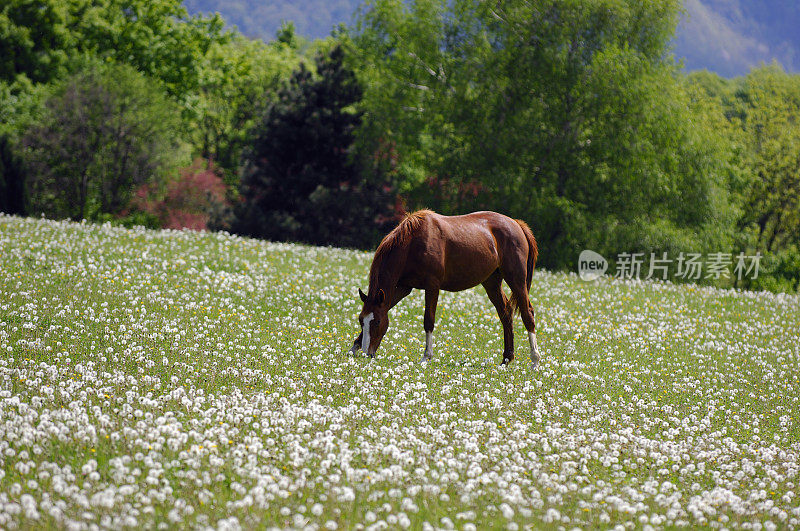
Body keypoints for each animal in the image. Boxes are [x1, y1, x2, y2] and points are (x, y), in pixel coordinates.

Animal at [346, 210, 540, 368]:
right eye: (361, 320)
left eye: (377, 322)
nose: (368, 353)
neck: (412, 243)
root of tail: (517, 224)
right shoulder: (402, 287)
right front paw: (354, 347)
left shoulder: (432, 285)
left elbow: (428, 320)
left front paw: (426, 357)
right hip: (491, 282)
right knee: (505, 313)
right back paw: (507, 359)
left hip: (516, 280)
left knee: (527, 313)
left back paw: (535, 360)